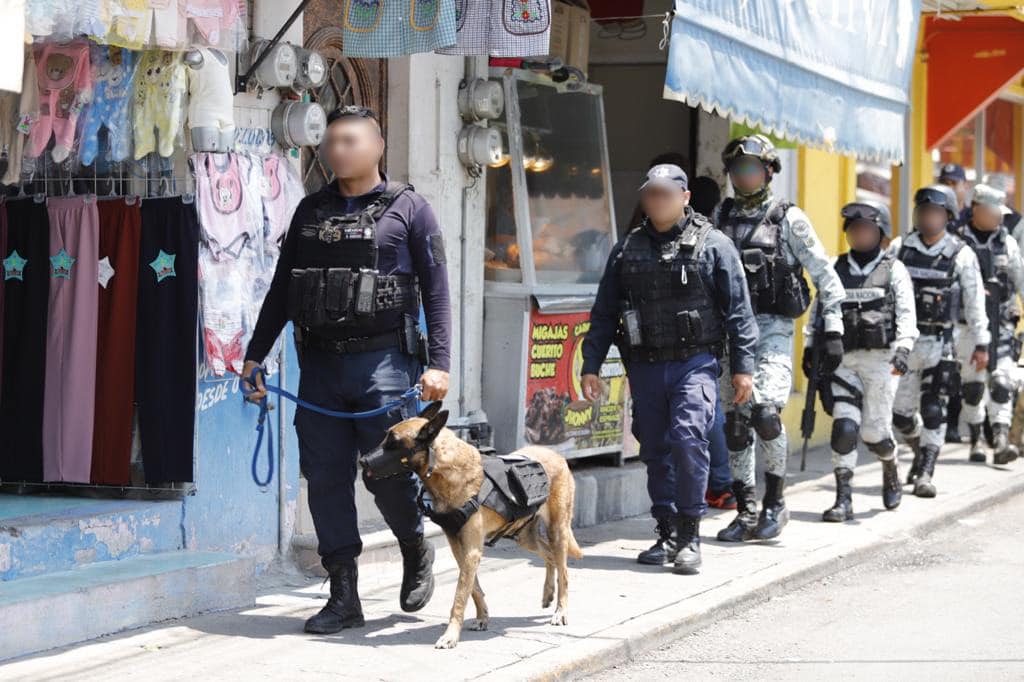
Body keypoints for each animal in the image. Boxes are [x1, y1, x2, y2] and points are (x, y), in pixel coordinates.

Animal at [360, 401, 585, 647]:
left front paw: (450, 635)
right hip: (523, 537)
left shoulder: (472, 551)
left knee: (563, 569)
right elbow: (473, 589)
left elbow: (460, 595)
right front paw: (482, 617)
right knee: (550, 556)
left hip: (557, 531)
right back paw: (547, 593)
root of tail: (557, 455)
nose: (362, 461)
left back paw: (561, 610)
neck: (444, 468)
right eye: (385, 437)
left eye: (393, 442)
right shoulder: (460, 549)